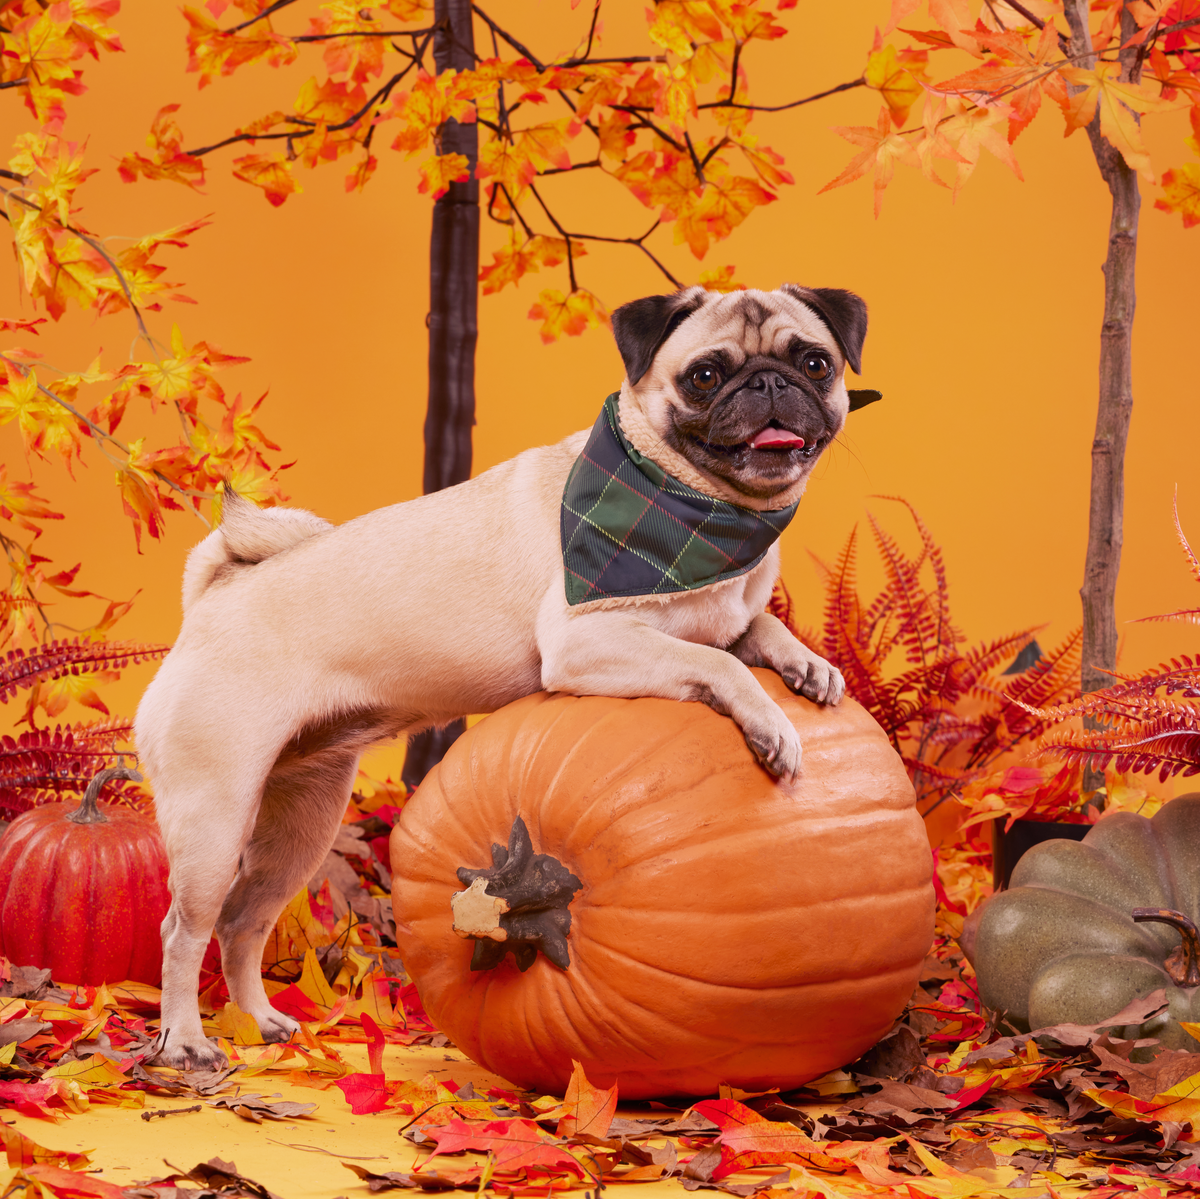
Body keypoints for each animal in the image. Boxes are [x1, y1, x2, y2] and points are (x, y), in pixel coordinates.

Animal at [136, 285, 878, 1075]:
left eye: (814, 363)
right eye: (705, 376)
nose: (770, 383)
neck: (702, 510)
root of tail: (214, 598)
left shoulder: (723, 615)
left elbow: (755, 628)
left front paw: (808, 663)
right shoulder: (586, 641)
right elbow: (720, 661)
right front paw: (770, 723)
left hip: (302, 822)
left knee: (244, 920)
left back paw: (259, 1020)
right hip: (214, 820)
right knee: (183, 930)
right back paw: (187, 1038)